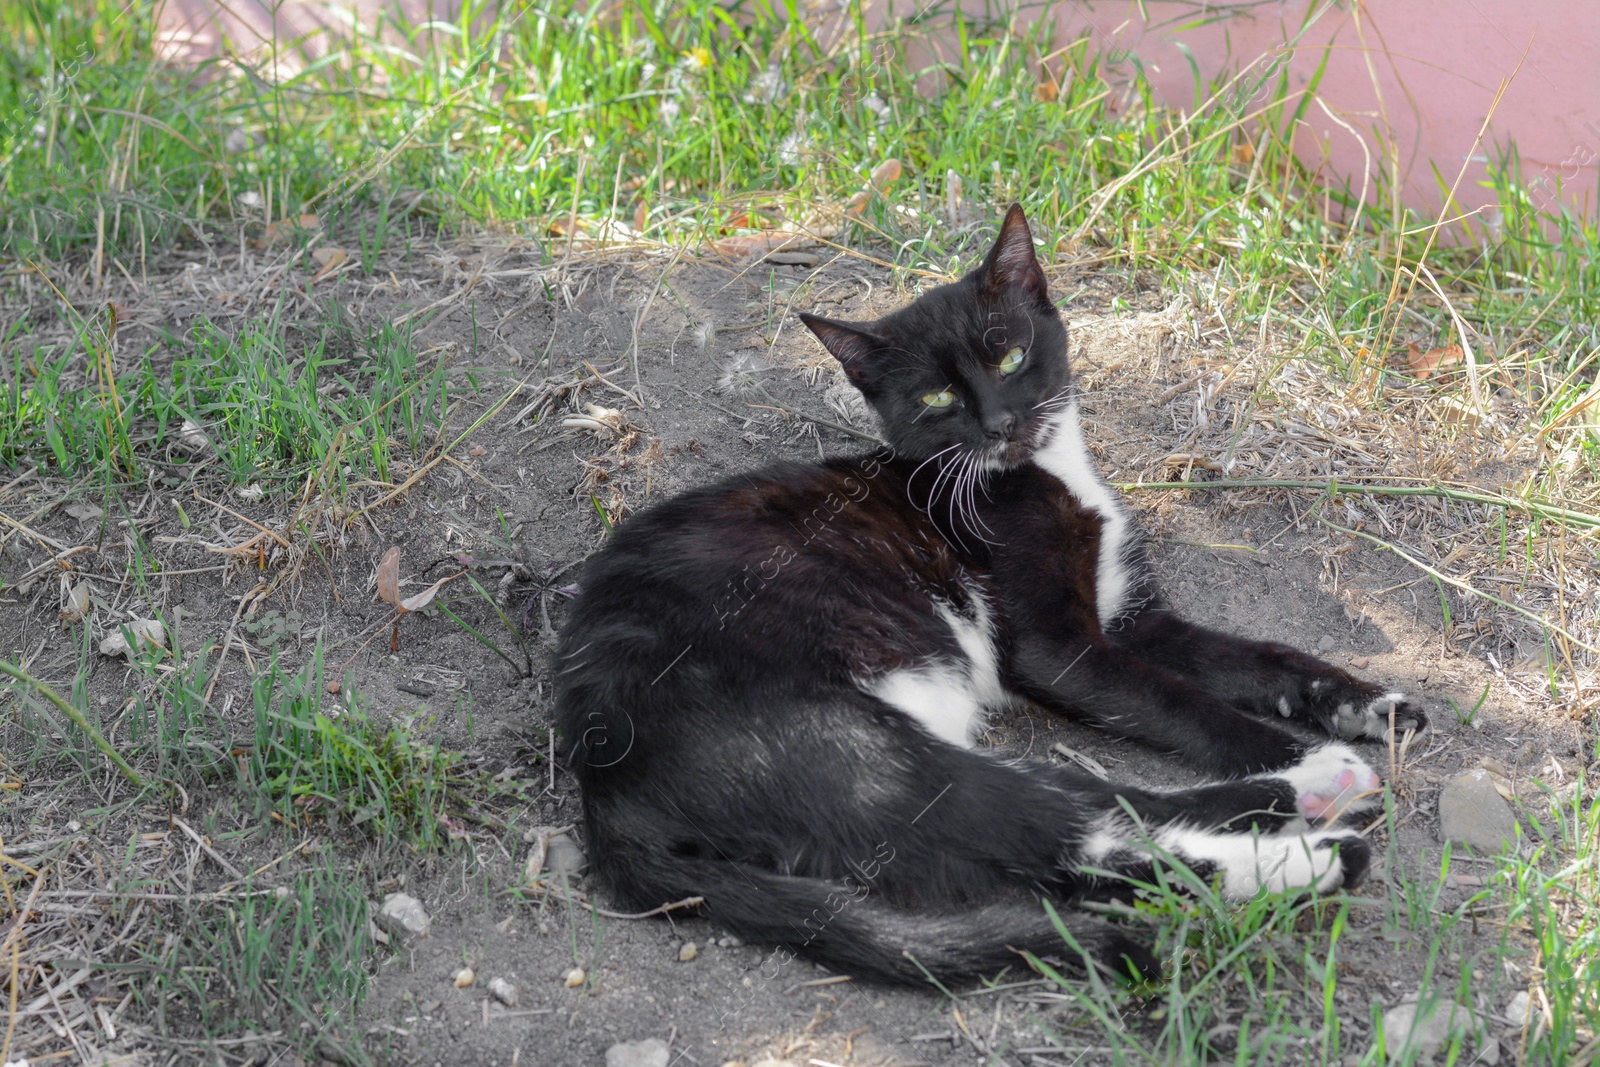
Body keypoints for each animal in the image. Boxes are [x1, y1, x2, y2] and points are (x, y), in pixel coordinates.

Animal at [553, 206, 1427, 985]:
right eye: (937, 400)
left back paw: (1293, 806)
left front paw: (1365, 701)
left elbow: (1257, 657)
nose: (1002, 421)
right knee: (1068, 837)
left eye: (1010, 357)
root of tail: (602, 787)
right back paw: (1315, 835)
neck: (1041, 473)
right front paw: (1303, 750)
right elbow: (1182, 703)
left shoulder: (1136, 619)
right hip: (850, 747)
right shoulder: (1060, 649)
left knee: (1086, 805)